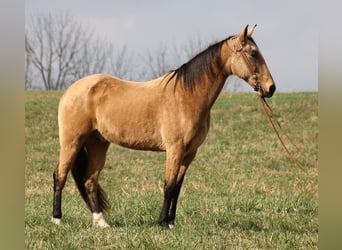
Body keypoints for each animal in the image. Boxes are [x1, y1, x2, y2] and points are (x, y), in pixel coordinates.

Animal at [50, 25, 276, 229]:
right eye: (253, 53)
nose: (270, 88)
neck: (186, 96)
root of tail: (71, 91)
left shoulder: (189, 154)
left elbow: (177, 188)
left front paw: (171, 222)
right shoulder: (174, 149)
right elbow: (168, 186)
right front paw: (162, 223)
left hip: (98, 144)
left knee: (90, 180)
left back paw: (101, 223)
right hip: (71, 143)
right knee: (60, 175)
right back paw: (57, 219)